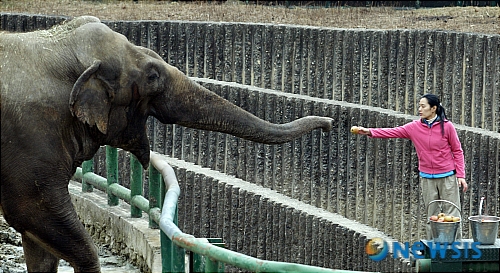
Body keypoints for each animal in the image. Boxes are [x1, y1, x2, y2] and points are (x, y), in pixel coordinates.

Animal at [0, 16, 336, 270]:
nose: (330, 124)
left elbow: (40, 245)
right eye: (152, 76)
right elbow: (33, 213)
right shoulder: (30, 135)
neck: (54, 44)